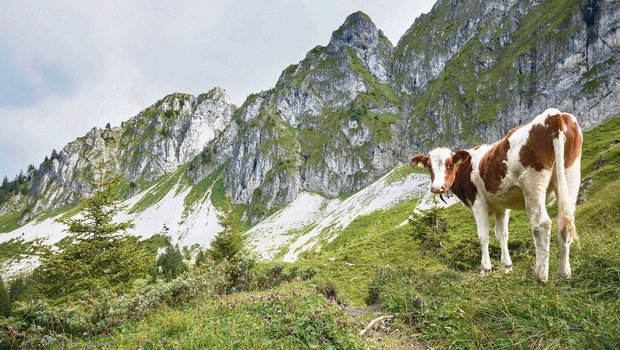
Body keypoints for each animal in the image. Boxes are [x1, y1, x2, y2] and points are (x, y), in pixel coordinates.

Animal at [412, 108, 580, 284]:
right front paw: (506, 267)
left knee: (541, 224)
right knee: (566, 221)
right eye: (429, 166)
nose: (437, 188)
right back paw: (564, 273)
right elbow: (502, 234)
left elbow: (483, 235)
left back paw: (540, 274)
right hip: (570, 175)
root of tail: (552, 115)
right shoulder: (502, 207)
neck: (467, 167)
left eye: (450, 164)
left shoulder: (478, 203)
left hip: (533, 183)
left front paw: (485, 269)